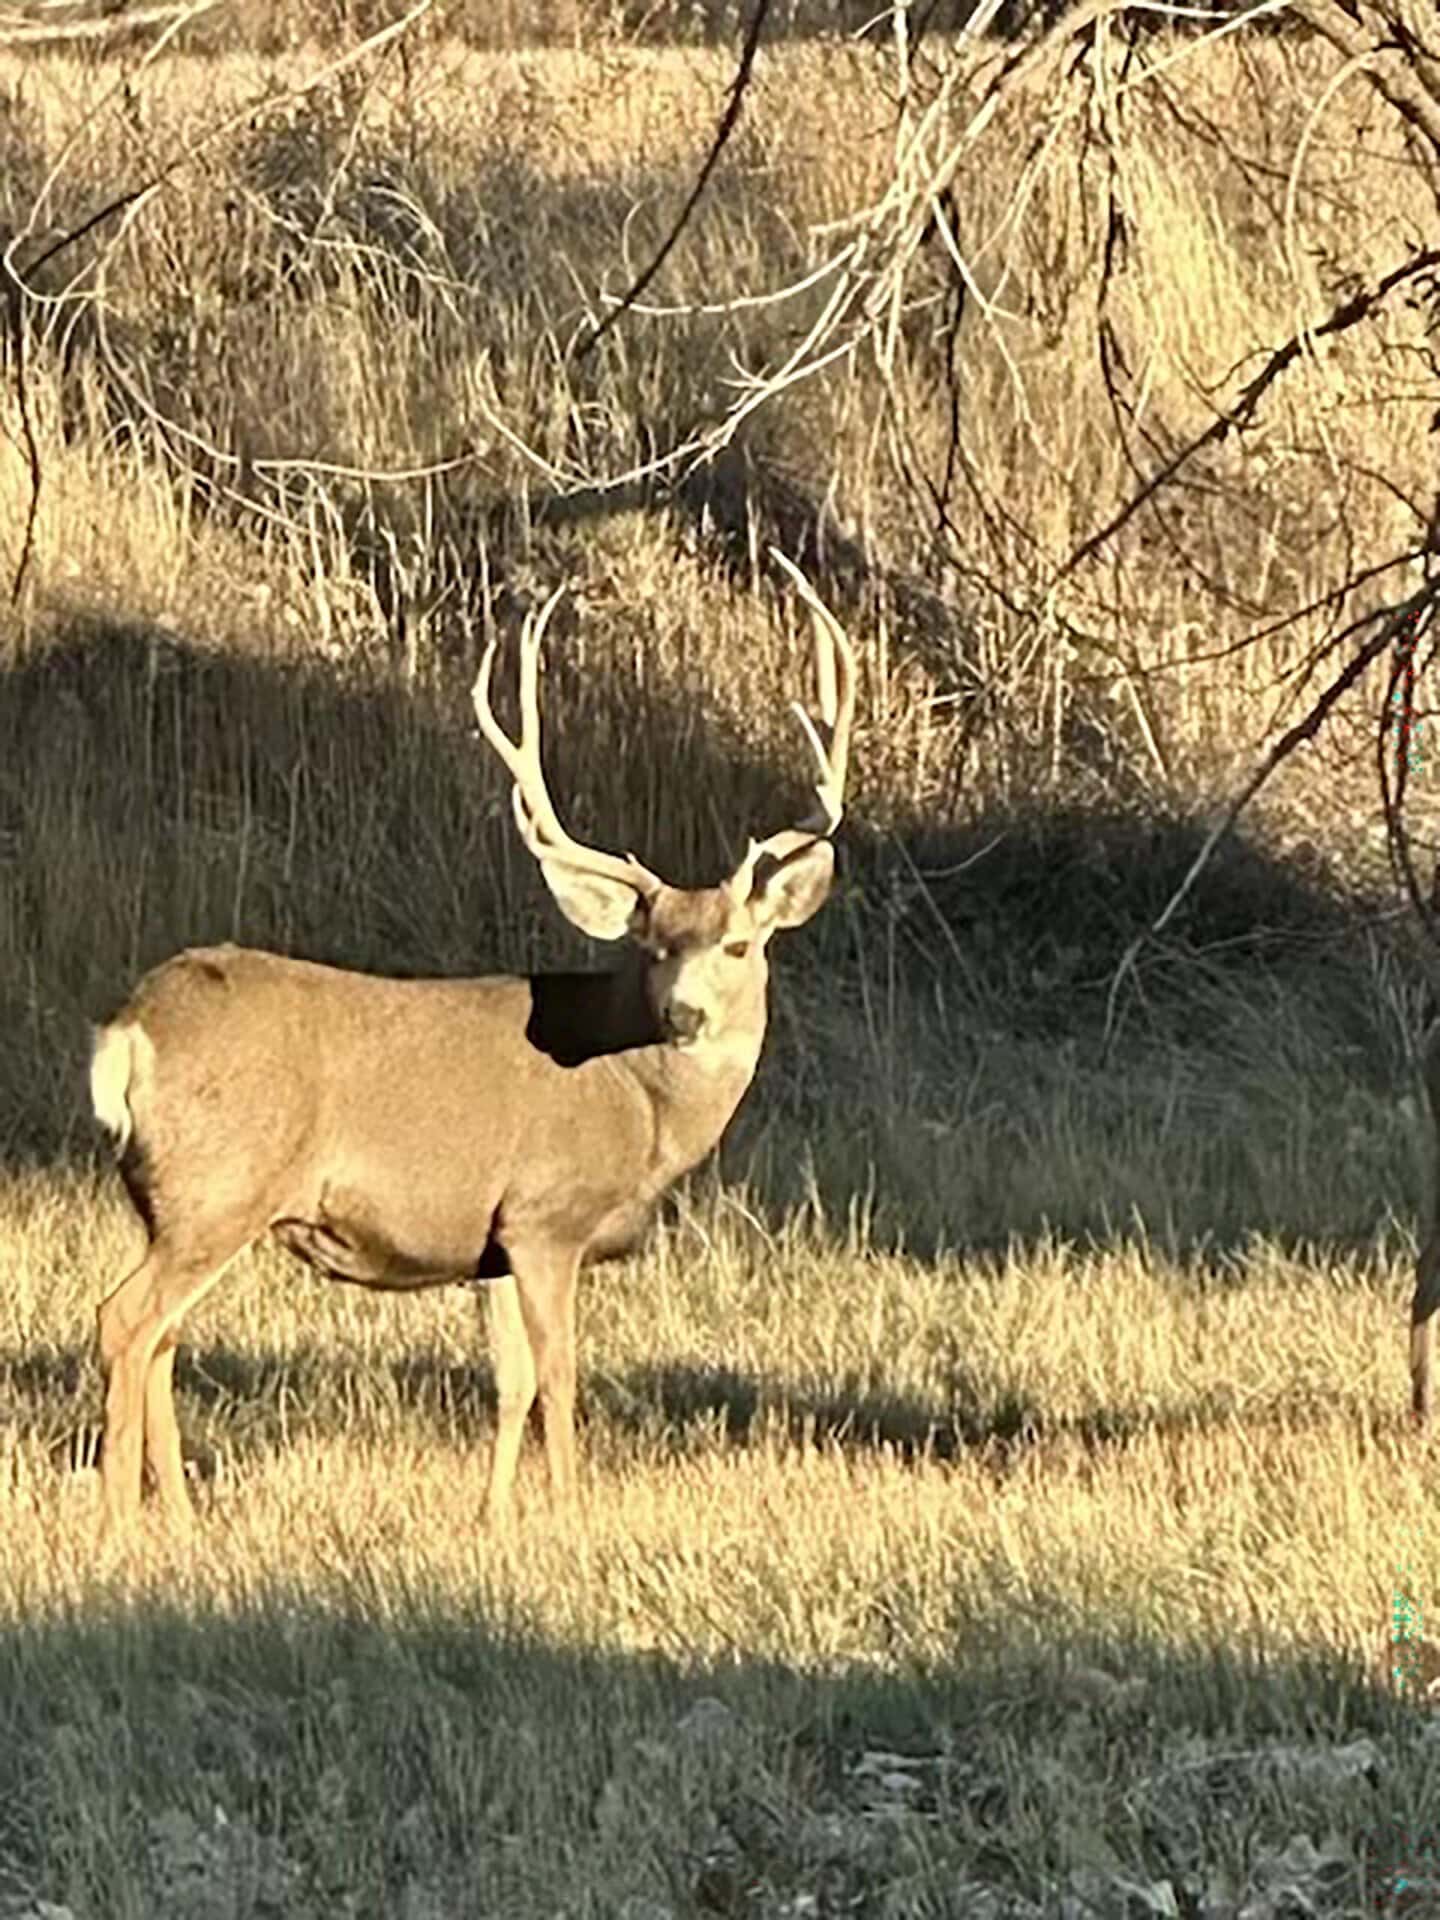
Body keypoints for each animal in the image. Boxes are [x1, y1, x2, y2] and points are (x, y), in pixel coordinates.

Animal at [89, 554, 856, 1538]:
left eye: (738, 946)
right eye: (652, 947)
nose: (685, 1015)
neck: (639, 1106)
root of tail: (130, 1031)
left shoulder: (489, 1240)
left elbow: (511, 1380)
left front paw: (494, 1513)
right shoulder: (545, 1212)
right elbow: (559, 1372)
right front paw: (570, 1509)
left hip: (174, 1200)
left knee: (163, 1335)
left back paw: (181, 1513)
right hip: (221, 1184)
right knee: (127, 1322)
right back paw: (119, 1516)